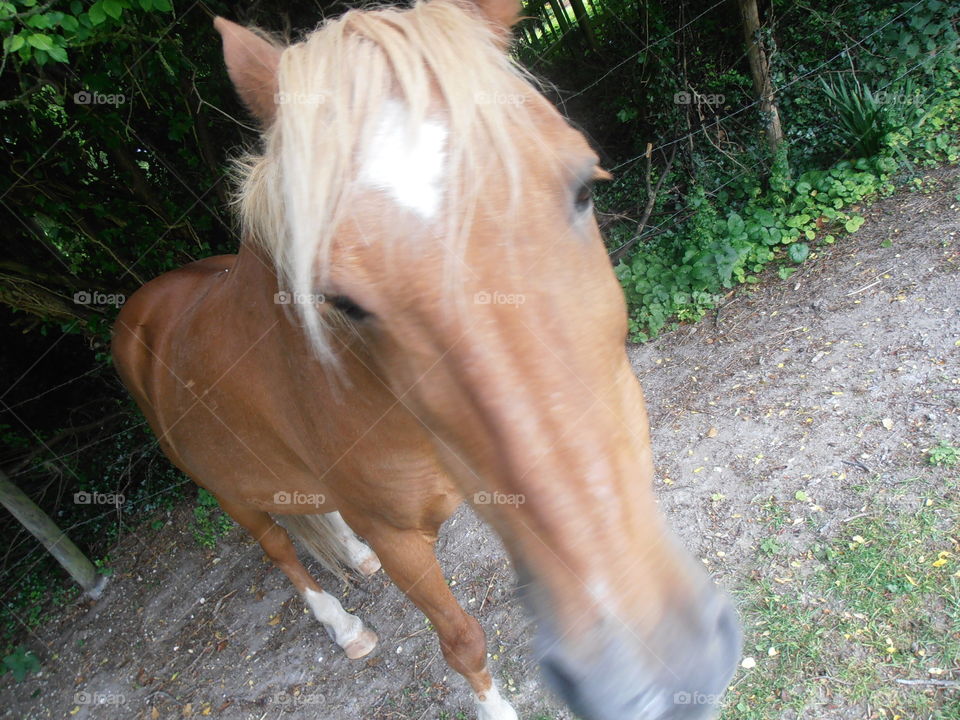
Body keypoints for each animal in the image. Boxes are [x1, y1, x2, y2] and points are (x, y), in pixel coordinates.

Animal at [112, 1, 744, 720]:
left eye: (585, 187)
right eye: (340, 300)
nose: (657, 670)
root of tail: (139, 314)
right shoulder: (401, 539)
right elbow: (462, 639)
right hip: (227, 494)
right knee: (279, 548)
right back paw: (344, 627)